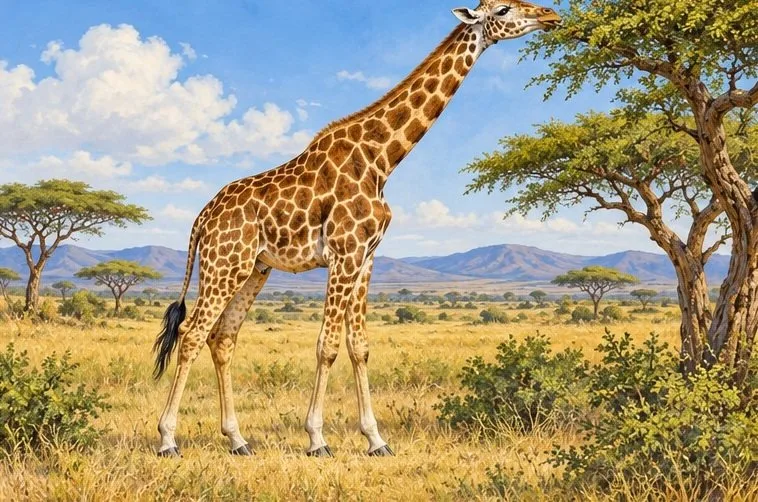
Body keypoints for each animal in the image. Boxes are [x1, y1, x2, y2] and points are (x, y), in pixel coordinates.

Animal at [152, 0, 561, 458]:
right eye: (504, 9)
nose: (550, 16)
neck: (382, 160)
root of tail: (202, 218)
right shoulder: (344, 253)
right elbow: (327, 346)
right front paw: (316, 439)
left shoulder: (365, 257)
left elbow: (359, 347)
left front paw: (376, 439)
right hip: (224, 264)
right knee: (191, 333)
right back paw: (167, 439)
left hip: (255, 268)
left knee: (222, 337)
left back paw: (238, 441)